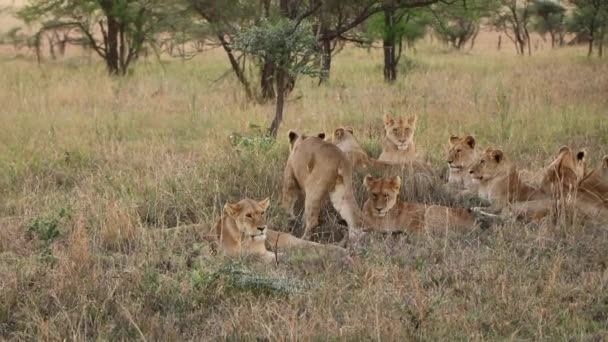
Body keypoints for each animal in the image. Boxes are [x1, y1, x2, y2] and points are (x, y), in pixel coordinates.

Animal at [207, 196, 344, 264]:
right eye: (248, 215)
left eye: (262, 212)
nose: (262, 228)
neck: (245, 238)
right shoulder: (243, 257)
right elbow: (276, 257)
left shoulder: (261, 253)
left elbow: (282, 256)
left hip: (287, 240)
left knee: (308, 244)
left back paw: (337, 250)